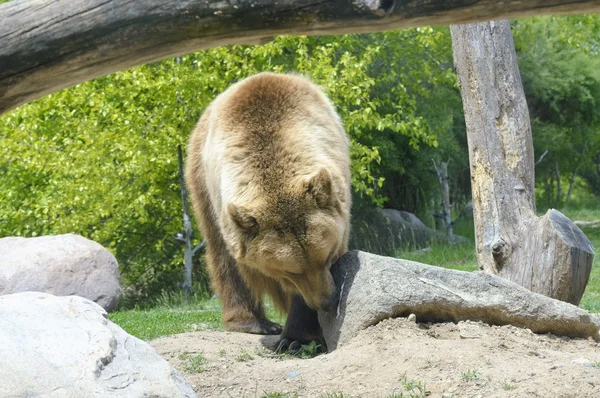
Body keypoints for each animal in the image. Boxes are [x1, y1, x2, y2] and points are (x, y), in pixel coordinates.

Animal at [185, 72, 350, 352]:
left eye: (328, 257)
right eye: (292, 271)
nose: (326, 301)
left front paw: (297, 336)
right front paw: (295, 338)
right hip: (201, 181)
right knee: (223, 256)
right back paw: (252, 322)